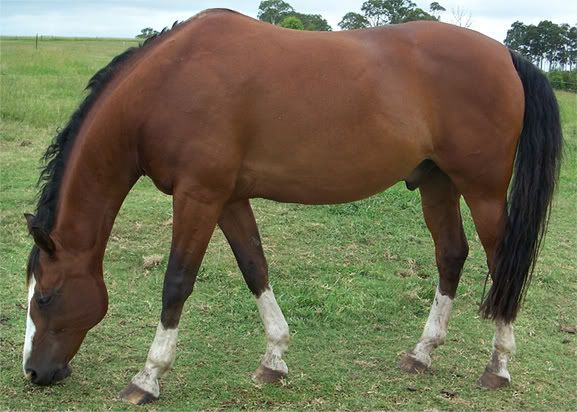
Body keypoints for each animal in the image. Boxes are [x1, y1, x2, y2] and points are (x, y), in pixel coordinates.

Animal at [22, 8, 560, 406]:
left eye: (44, 297)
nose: (34, 373)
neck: (168, 84)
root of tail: (506, 53)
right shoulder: (229, 198)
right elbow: (254, 267)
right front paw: (275, 358)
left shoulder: (198, 195)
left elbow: (177, 282)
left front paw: (148, 377)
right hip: (436, 182)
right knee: (451, 254)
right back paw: (422, 353)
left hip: (482, 189)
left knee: (501, 262)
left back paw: (498, 366)